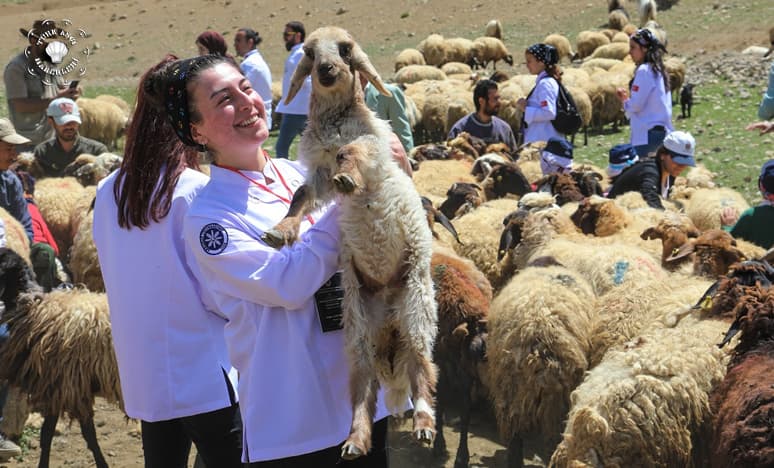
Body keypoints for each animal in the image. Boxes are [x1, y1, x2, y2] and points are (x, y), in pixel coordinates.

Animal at [266, 26, 436, 460]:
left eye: (345, 50)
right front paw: (281, 229)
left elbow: (352, 151)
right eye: (309, 53)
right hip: (358, 323)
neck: (333, 122)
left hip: (416, 303)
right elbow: (301, 196)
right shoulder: (317, 173)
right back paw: (356, 440)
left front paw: (348, 176)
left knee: (422, 366)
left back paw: (424, 423)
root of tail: (390, 320)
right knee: (363, 387)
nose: (327, 70)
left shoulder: (375, 145)